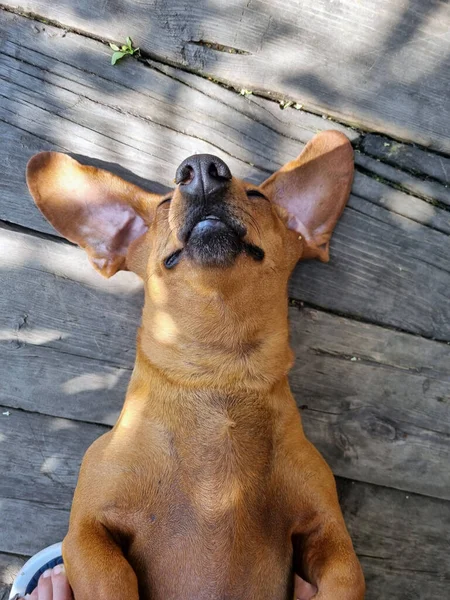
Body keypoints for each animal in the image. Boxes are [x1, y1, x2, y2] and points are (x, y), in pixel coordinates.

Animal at [26, 132, 366, 600]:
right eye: (164, 204)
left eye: (257, 195)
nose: (202, 167)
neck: (218, 375)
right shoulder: (85, 530)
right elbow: (111, 578)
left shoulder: (328, 532)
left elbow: (348, 578)